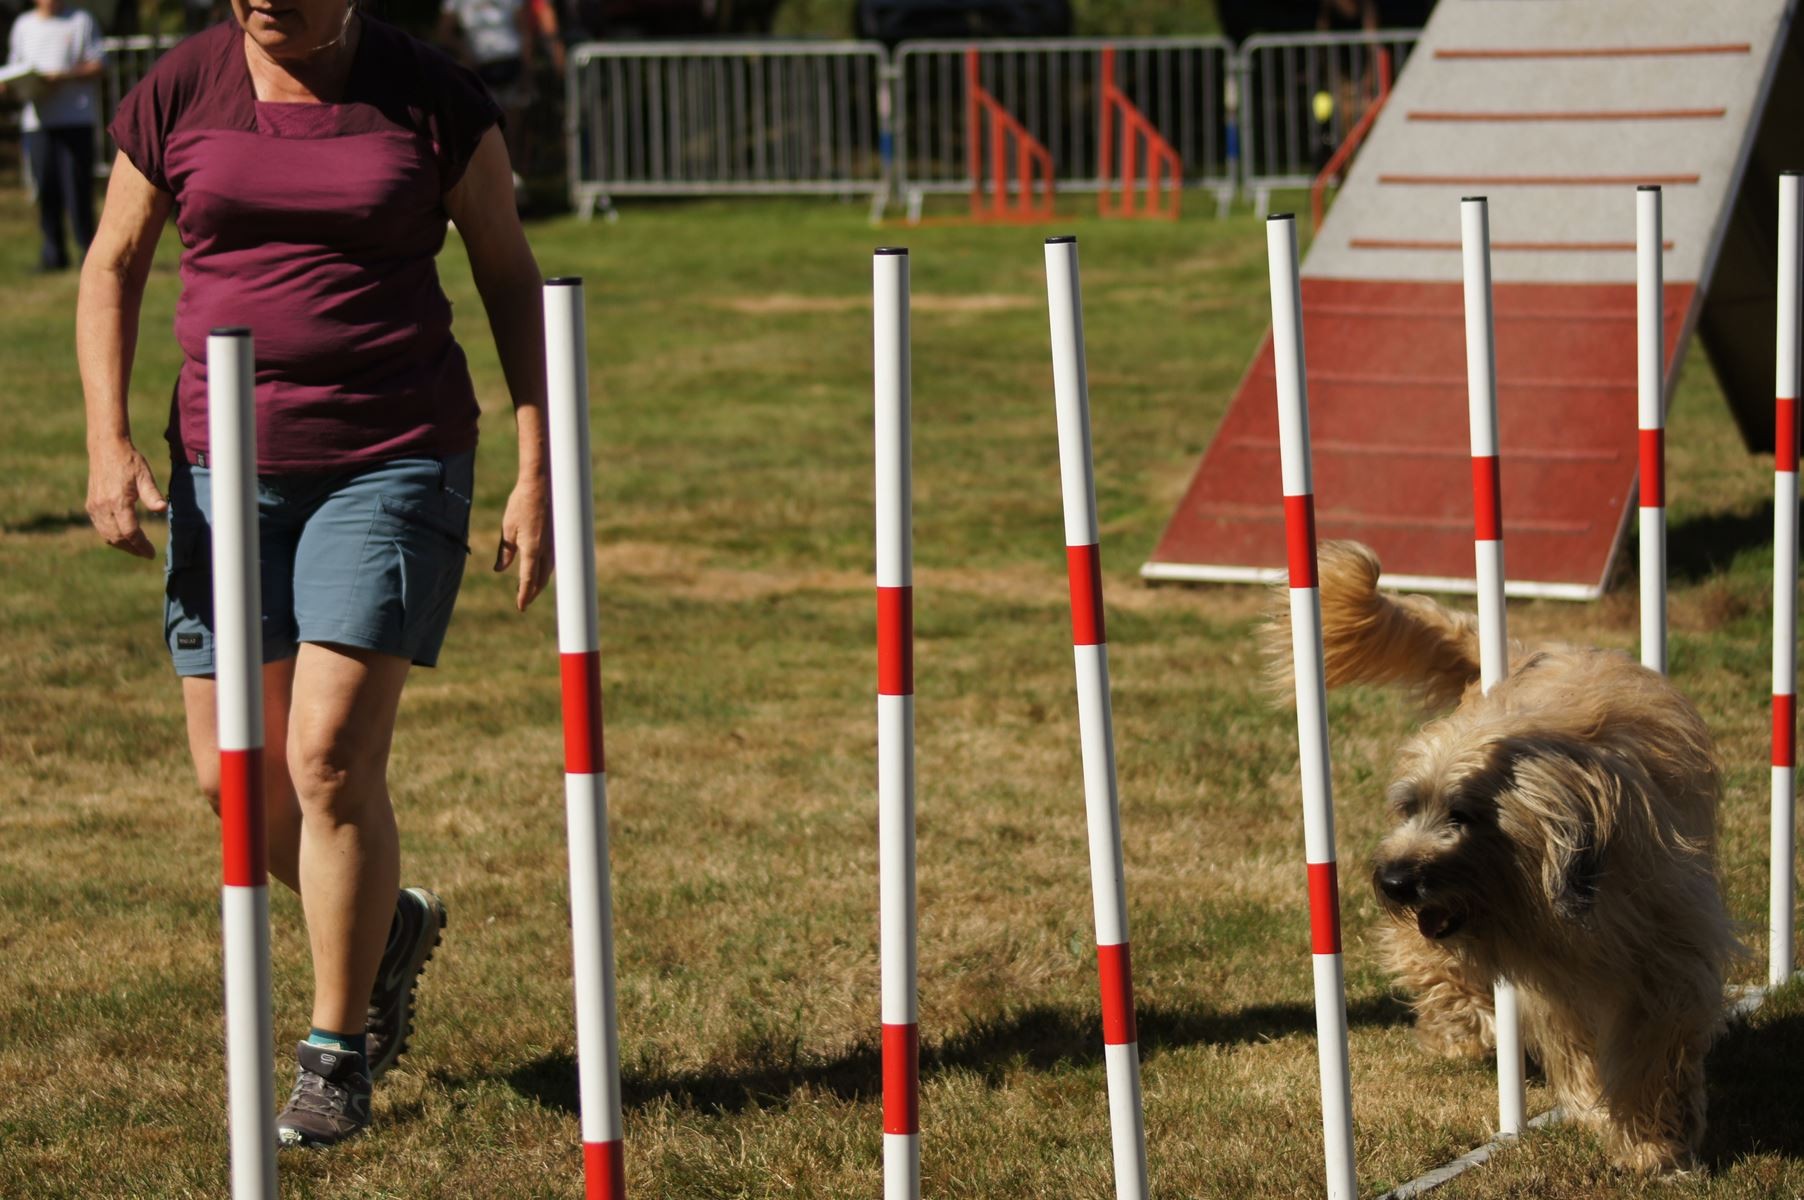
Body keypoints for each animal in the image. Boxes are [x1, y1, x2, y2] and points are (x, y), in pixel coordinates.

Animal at [1270, 541, 1746, 1169]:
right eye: (1408, 807)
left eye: (1462, 815)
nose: (1392, 882)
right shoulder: (1550, 975)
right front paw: (1615, 1119)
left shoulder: (1664, 951)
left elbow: (1651, 1042)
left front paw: (1653, 1137)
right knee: (1427, 962)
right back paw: (1464, 1028)